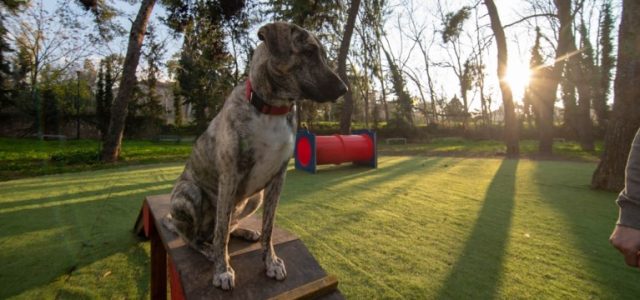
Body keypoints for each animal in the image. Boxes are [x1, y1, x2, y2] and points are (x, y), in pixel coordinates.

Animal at [162, 22, 348, 290]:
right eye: (309, 52)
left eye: (321, 53)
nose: (344, 89)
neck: (272, 109)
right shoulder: (229, 176)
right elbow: (221, 235)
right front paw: (222, 270)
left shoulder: (277, 179)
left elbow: (268, 228)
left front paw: (270, 262)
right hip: (190, 192)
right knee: (195, 237)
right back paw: (208, 250)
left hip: (254, 198)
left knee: (227, 226)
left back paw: (245, 232)